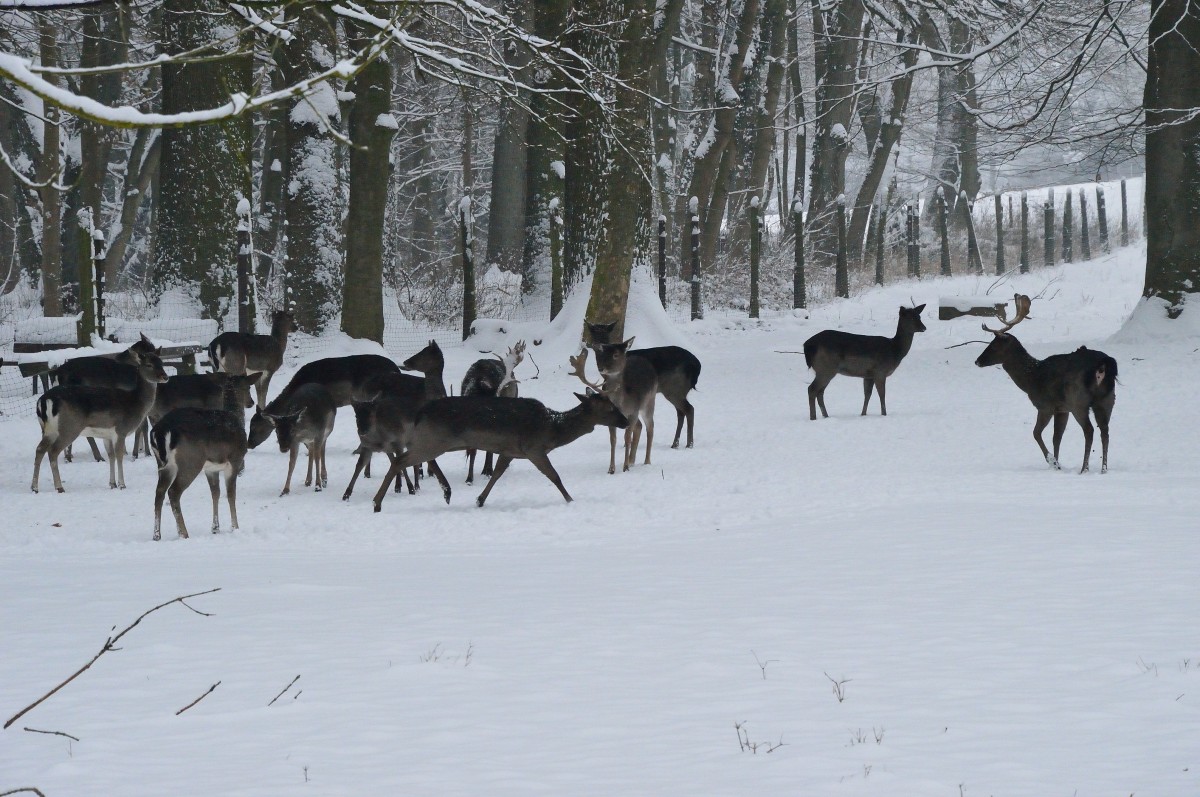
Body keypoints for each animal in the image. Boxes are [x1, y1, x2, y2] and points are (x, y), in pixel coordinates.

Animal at [33, 348, 169, 492]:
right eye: (149, 364)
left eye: (161, 363)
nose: (165, 377)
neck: (135, 403)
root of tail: (43, 401)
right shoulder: (120, 430)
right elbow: (119, 456)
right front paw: (122, 484)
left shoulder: (107, 435)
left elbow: (111, 456)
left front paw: (112, 484)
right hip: (68, 428)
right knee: (52, 452)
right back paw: (59, 487)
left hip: (48, 429)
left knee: (40, 449)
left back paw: (34, 487)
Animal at [372, 391, 628, 511]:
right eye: (610, 408)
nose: (625, 421)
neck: (552, 429)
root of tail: (420, 412)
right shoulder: (534, 448)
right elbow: (554, 476)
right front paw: (570, 500)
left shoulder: (510, 450)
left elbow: (496, 473)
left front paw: (479, 500)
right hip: (434, 439)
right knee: (400, 460)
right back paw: (377, 503)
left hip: (432, 441)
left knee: (413, 460)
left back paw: (446, 492)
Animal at [801, 303, 931, 422]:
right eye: (910, 318)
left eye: (919, 316)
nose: (924, 328)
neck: (894, 351)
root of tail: (807, 345)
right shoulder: (880, 371)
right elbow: (882, 395)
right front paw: (884, 414)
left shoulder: (868, 375)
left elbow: (867, 394)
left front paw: (863, 414)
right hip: (826, 368)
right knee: (812, 389)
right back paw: (813, 418)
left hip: (824, 370)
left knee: (820, 392)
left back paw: (826, 416)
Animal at [974, 295, 1113, 475]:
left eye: (993, 345)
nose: (977, 361)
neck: (1032, 378)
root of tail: (1103, 365)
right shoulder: (1062, 409)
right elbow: (1056, 437)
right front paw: (1058, 464)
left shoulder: (1045, 405)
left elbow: (1036, 433)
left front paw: (1052, 462)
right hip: (1106, 400)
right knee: (1105, 431)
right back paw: (1103, 469)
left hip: (1078, 400)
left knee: (1089, 430)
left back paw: (1084, 469)